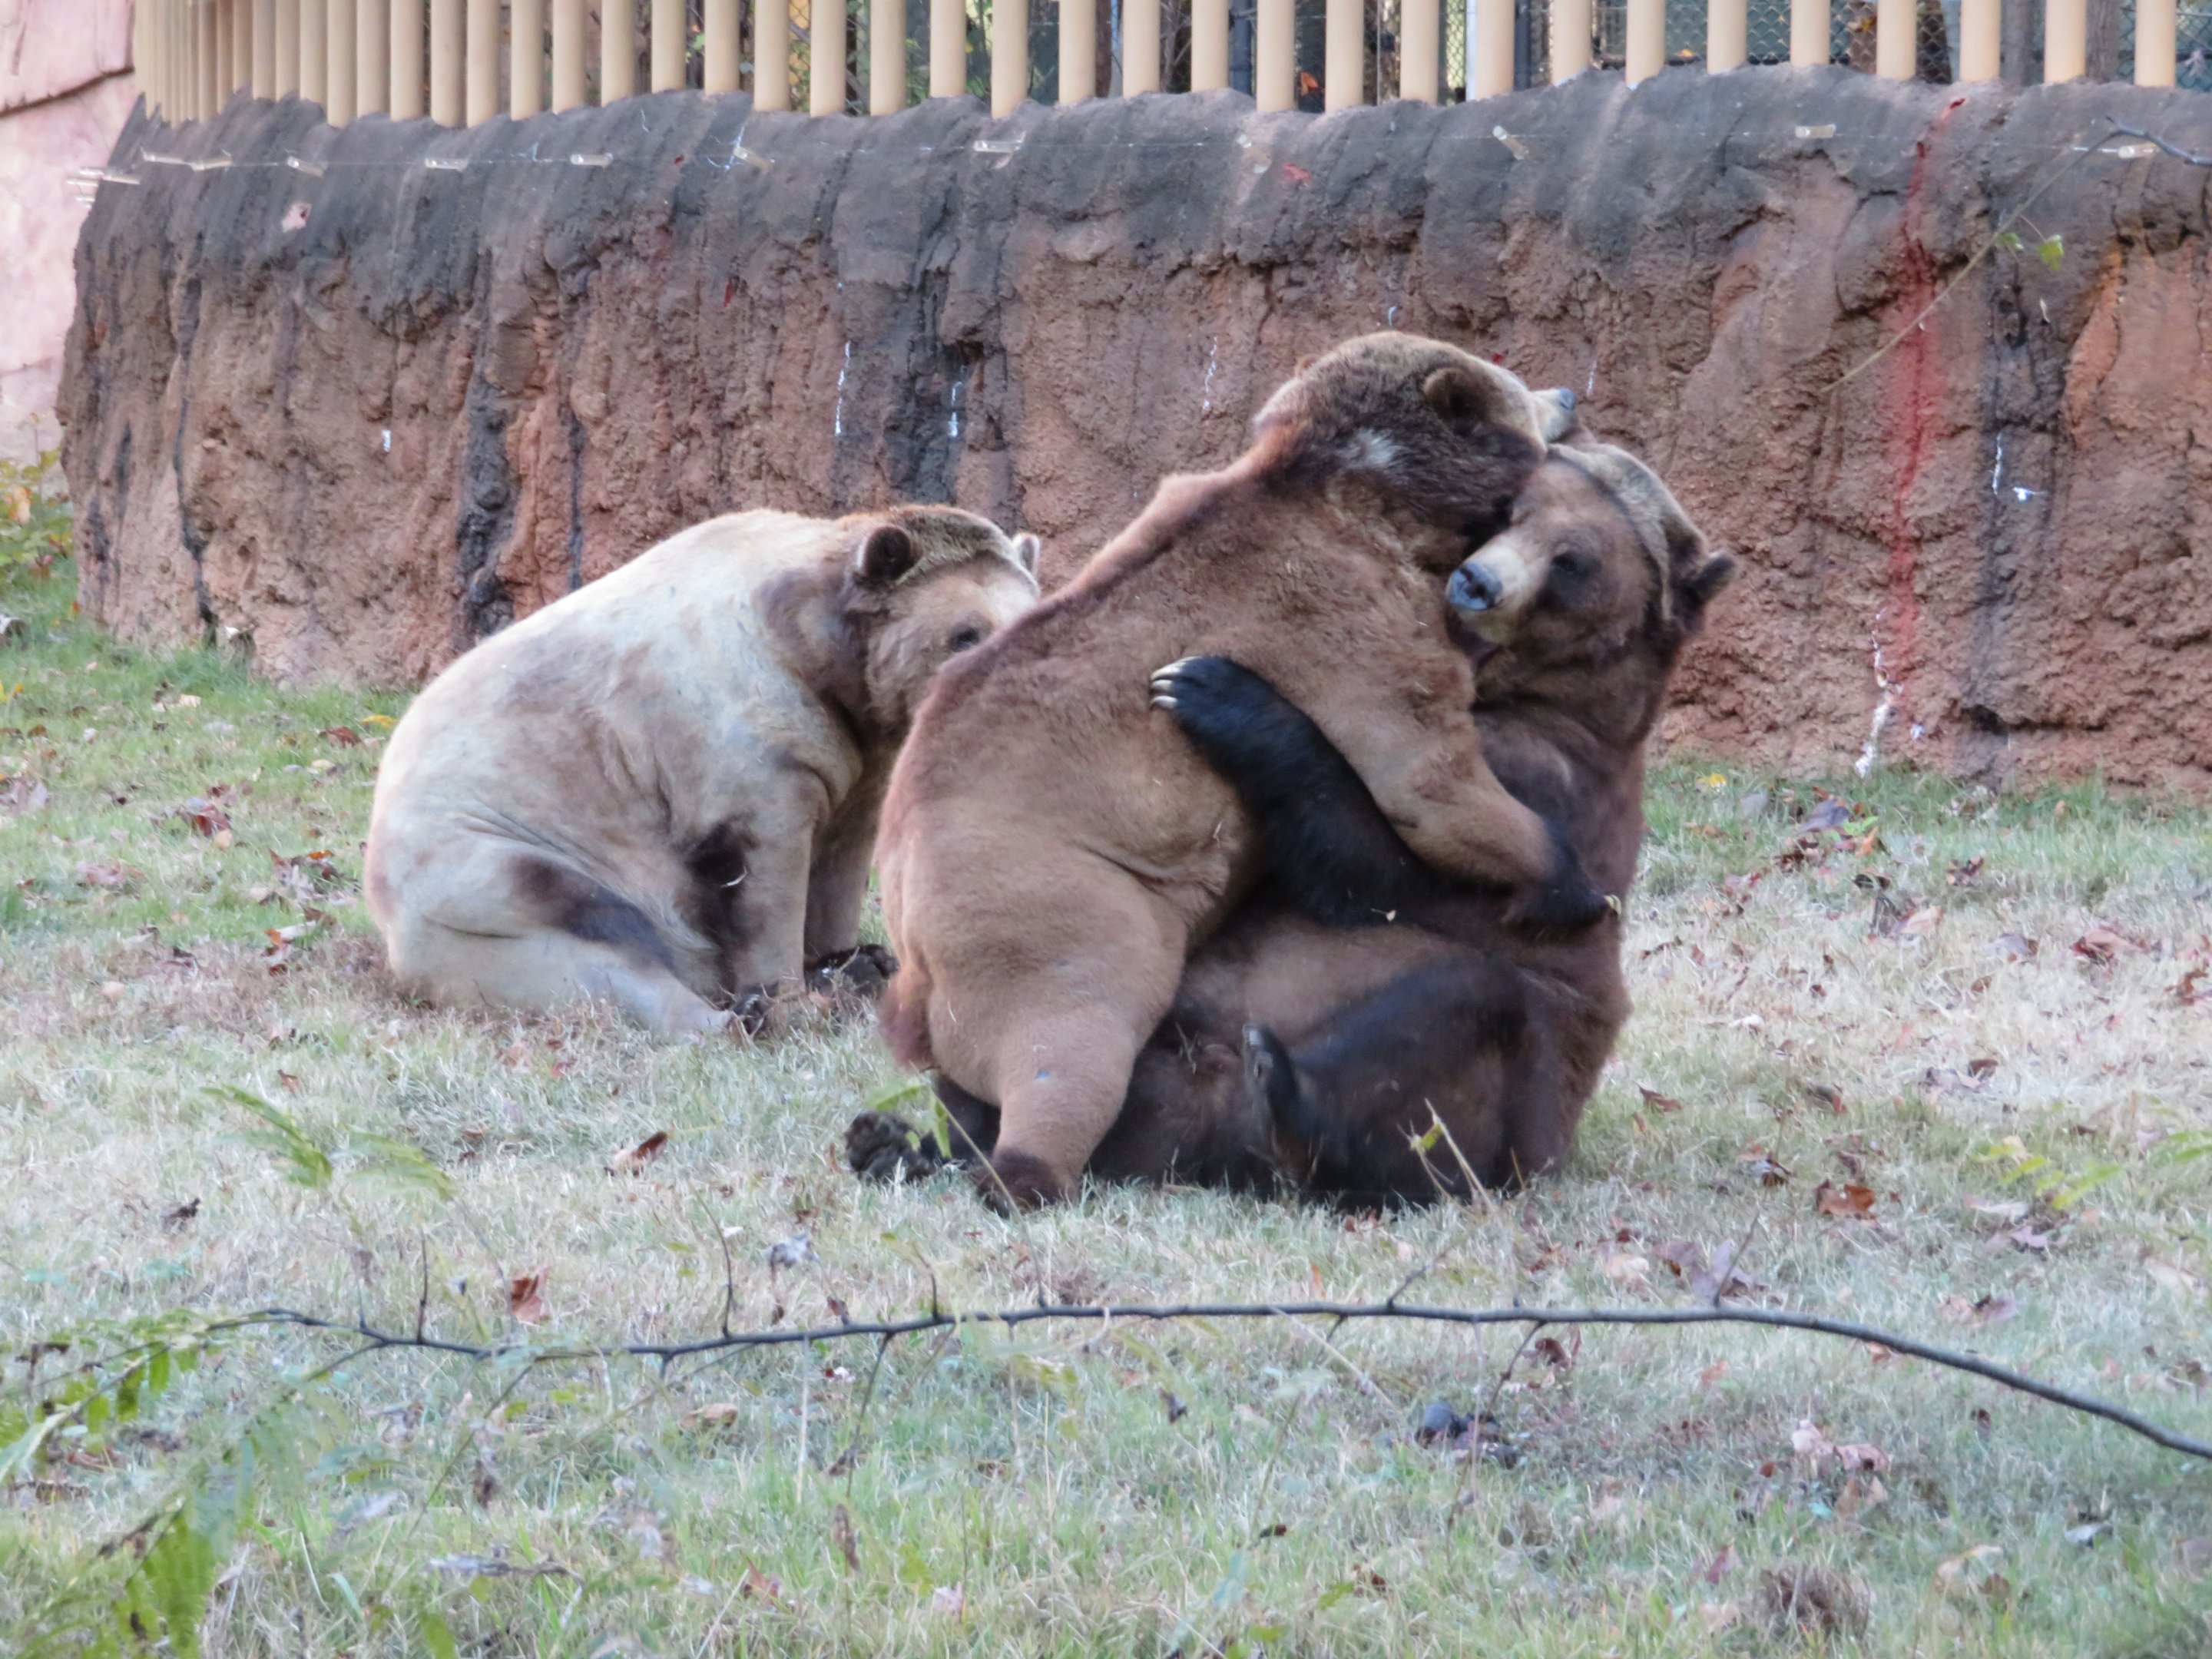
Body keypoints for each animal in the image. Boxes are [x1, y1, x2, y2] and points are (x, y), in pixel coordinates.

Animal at [365, 505, 1040, 1035]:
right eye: (965, 631)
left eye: (1029, 616)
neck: (821, 657)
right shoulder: (740, 739)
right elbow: (765, 873)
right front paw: (791, 998)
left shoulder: (855, 754)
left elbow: (841, 864)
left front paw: (849, 960)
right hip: (491, 871)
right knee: (608, 947)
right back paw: (728, 1019)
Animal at [869, 332, 1602, 1208]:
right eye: (1517, 387)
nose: (1569, 392)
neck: (1373, 503)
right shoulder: (1348, 622)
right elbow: (1427, 783)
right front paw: (1568, 880)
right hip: (1053, 900)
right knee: (1067, 1040)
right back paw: (1022, 1169)